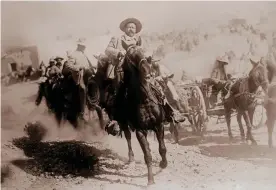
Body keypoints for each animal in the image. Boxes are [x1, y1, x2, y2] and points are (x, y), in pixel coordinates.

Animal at [110, 46, 168, 186]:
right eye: (131, 56)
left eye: (143, 51)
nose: (147, 68)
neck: (144, 99)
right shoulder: (140, 131)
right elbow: (147, 155)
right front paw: (150, 180)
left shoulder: (159, 125)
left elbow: (162, 148)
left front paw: (163, 164)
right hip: (124, 124)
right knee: (128, 137)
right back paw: (131, 160)